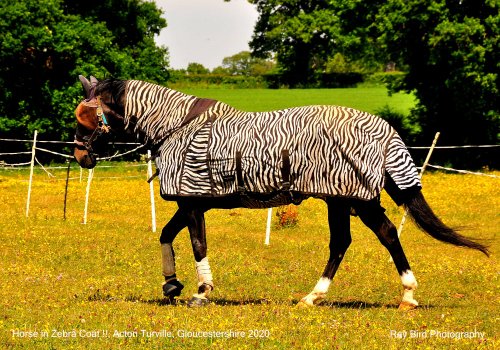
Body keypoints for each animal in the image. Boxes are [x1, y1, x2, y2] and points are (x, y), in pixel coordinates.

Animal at [73, 75, 488, 308]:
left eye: (87, 116)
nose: (79, 155)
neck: (178, 127)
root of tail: (381, 129)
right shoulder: (193, 203)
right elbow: (165, 235)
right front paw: (171, 283)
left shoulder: (192, 204)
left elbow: (197, 245)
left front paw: (201, 291)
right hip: (339, 201)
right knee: (342, 243)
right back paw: (313, 297)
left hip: (356, 199)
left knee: (385, 235)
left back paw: (407, 295)